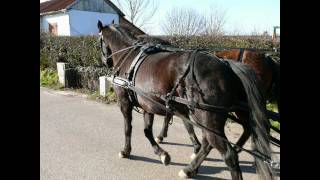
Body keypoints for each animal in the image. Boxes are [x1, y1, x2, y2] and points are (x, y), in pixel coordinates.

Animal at [97, 20, 272, 179]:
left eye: (99, 42)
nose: (105, 61)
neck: (129, 57)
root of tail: (226, 65)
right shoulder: (148, 104)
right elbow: (147, 131)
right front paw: (162, 154)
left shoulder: (124, 102)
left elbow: (128, 128)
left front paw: (126, 151)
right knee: (218, 139)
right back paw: (190, 169)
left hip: (206, 117)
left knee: (228, 154)